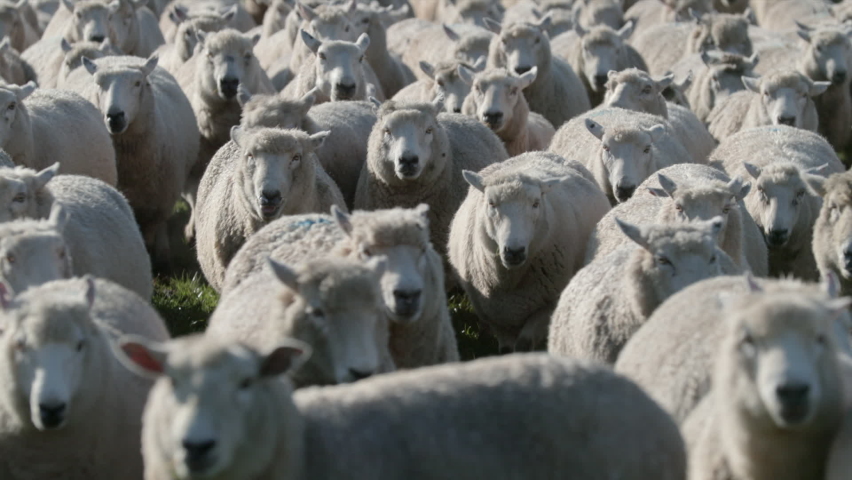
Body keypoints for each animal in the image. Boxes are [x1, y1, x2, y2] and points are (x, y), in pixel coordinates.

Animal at [63, 55, 200, 270]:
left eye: (138, 83)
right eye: (98, 83)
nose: (114, 116)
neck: (130, 167)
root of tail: (118, 56)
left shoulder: (158, 204)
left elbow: (151, 236)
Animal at [176, 28, 274, 241]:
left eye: (247, 55)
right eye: (210, 55)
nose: (229, 82)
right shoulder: (193, 169)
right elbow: (194, 196)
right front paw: (192, 229)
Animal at [448, 152, 610, 351]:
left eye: (535, 204)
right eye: (491, 203)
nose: (514, 251)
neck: (509, 282)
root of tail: (536, 152)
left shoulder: (547, 307)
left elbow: (524, 344)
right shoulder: (493, 314)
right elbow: (506, 350)